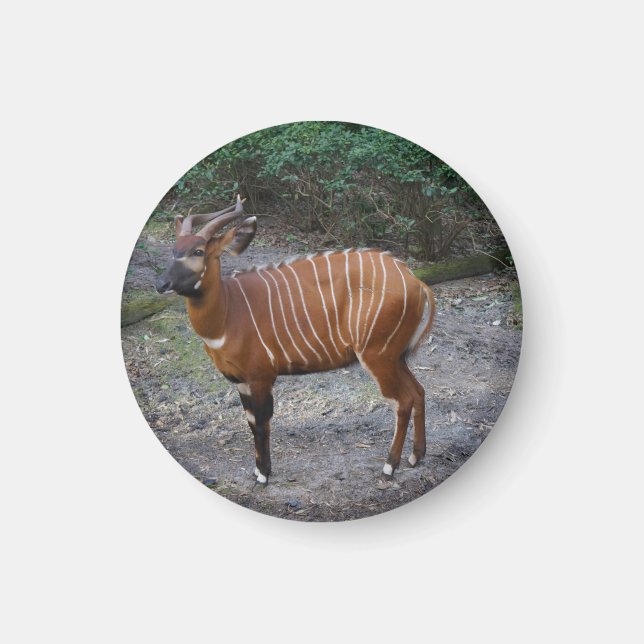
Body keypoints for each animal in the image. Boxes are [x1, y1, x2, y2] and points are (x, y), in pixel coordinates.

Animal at [156, 196, 435, 485]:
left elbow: (261, 423)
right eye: (174, 250)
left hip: (378, 355)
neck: (229, 311)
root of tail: (416, 282)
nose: (161, 283)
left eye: (198, 252)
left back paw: (390, 466)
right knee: (418, 391)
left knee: (402, 401)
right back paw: (416, 457)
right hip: (395, 357)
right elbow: (251, 422)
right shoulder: (241, 381)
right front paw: (259, 470)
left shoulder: (261, 376)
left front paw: (263, 475)